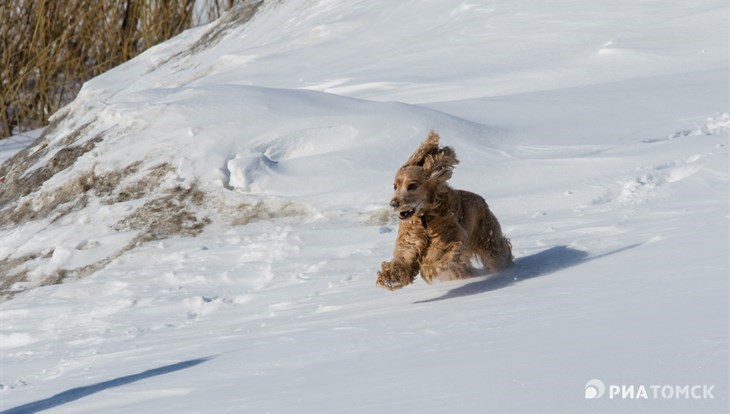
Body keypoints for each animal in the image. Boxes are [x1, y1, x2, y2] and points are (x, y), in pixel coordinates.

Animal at [376, 131, 512, 290]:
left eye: (412, 186)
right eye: (395, 186)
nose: (393, 203)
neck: (425, 216)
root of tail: (483, 201)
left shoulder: (450, 232)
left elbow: (439, 251)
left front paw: (428, 268)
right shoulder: (411, 237)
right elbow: (405, 254)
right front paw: (391, 277)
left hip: (488, 239)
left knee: (498, 254)